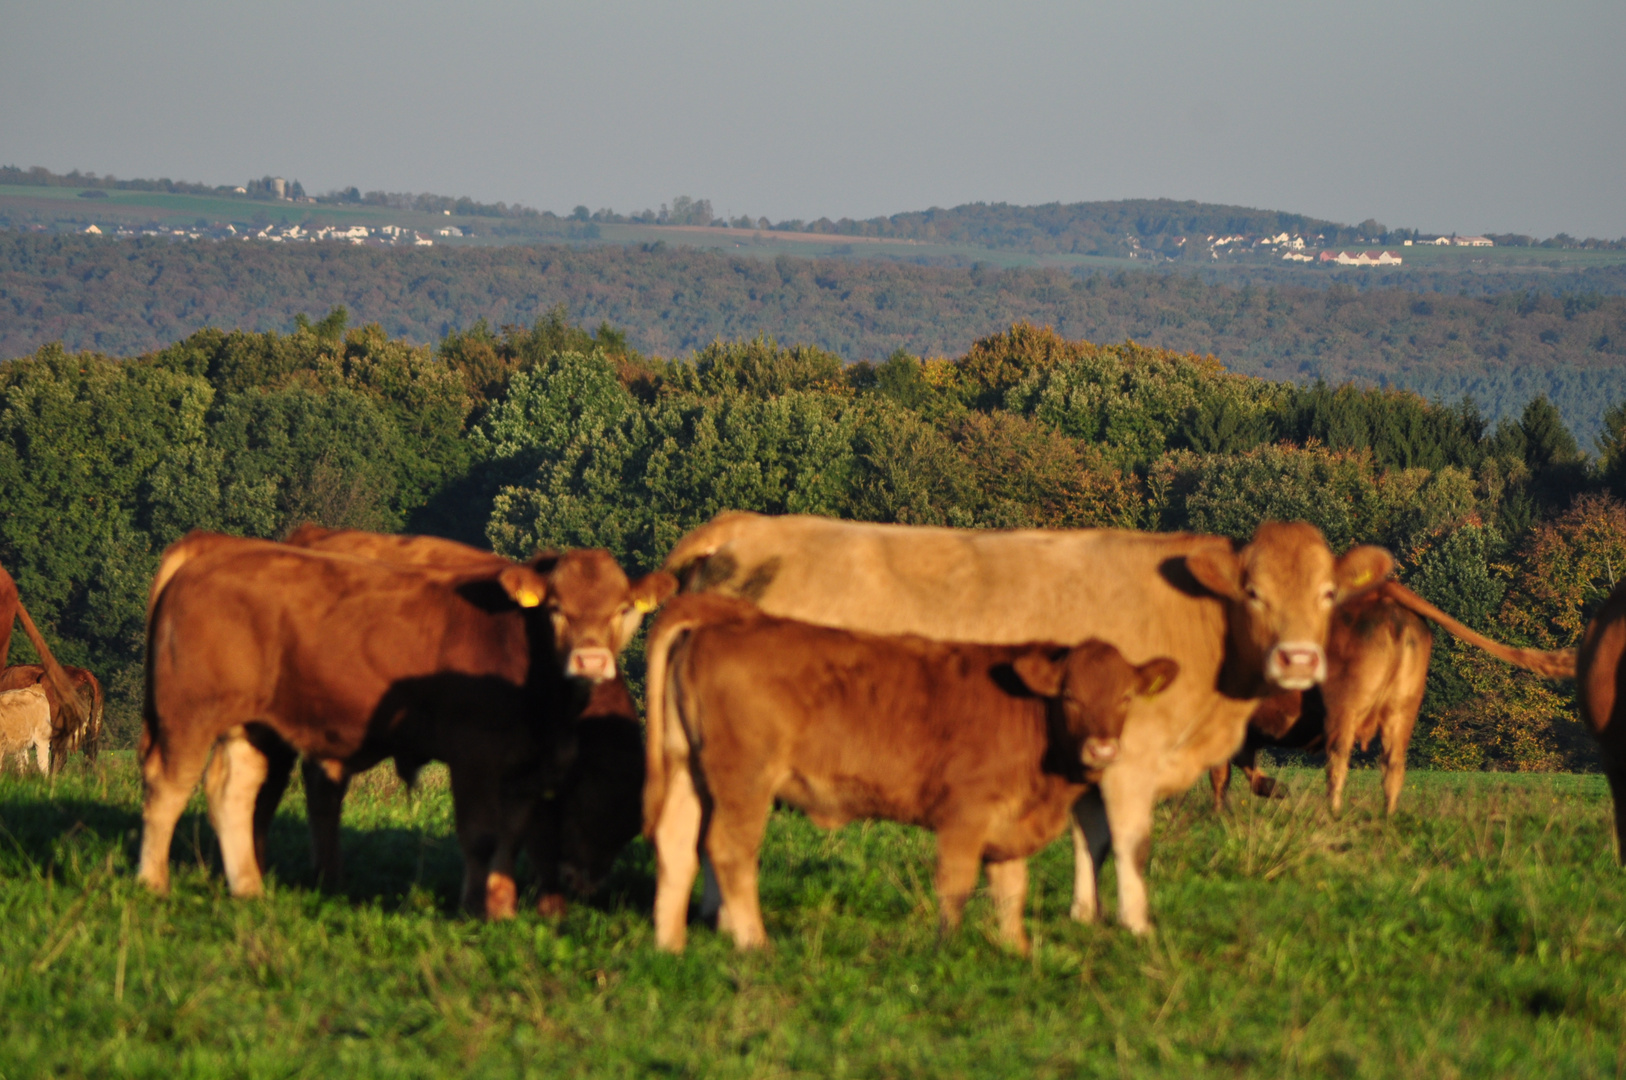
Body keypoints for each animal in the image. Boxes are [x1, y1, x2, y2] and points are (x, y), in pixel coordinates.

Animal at [139, 536, 673, 917]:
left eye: (622, 609)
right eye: (556, 608)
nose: (591, 660)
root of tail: (210, 551)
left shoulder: (526, 769)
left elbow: (511, 837)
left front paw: (501, 910)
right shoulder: (474, 755)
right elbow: (481, 836)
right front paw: (473, 907)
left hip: (253, 725)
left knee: (233, 794)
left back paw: (249, 889)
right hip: (188, 714)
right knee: (167, 789)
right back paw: (153, 884)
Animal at [640, 592, 1177, 956]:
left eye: (1126, 697)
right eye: (1070, 697)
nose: (1103, 747)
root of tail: (736, 616)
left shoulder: (1009, 823)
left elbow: (1011, 890)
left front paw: (1017, 951)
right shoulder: (965, 814)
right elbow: (956, 884)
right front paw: (949, 949)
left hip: (688, 767)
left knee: (676, 842)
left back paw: (670, 945)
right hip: (745, 777)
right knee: (730, 850)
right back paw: (755, 943)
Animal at [666, 510, 1391, 930]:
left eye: (1328, 593)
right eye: (1253, 592)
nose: (1298, 658)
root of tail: (745, 524)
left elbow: (1090, 839)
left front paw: (1082, 916)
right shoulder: (1130, 757)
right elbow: (1131, 842)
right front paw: (1136, 927)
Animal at [1222, 585, 1573, 813]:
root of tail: (1383, 598)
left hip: (1343, 708)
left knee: (1338, 761)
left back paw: (1331, 815)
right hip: (1402, 707)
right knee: (1393, 765)